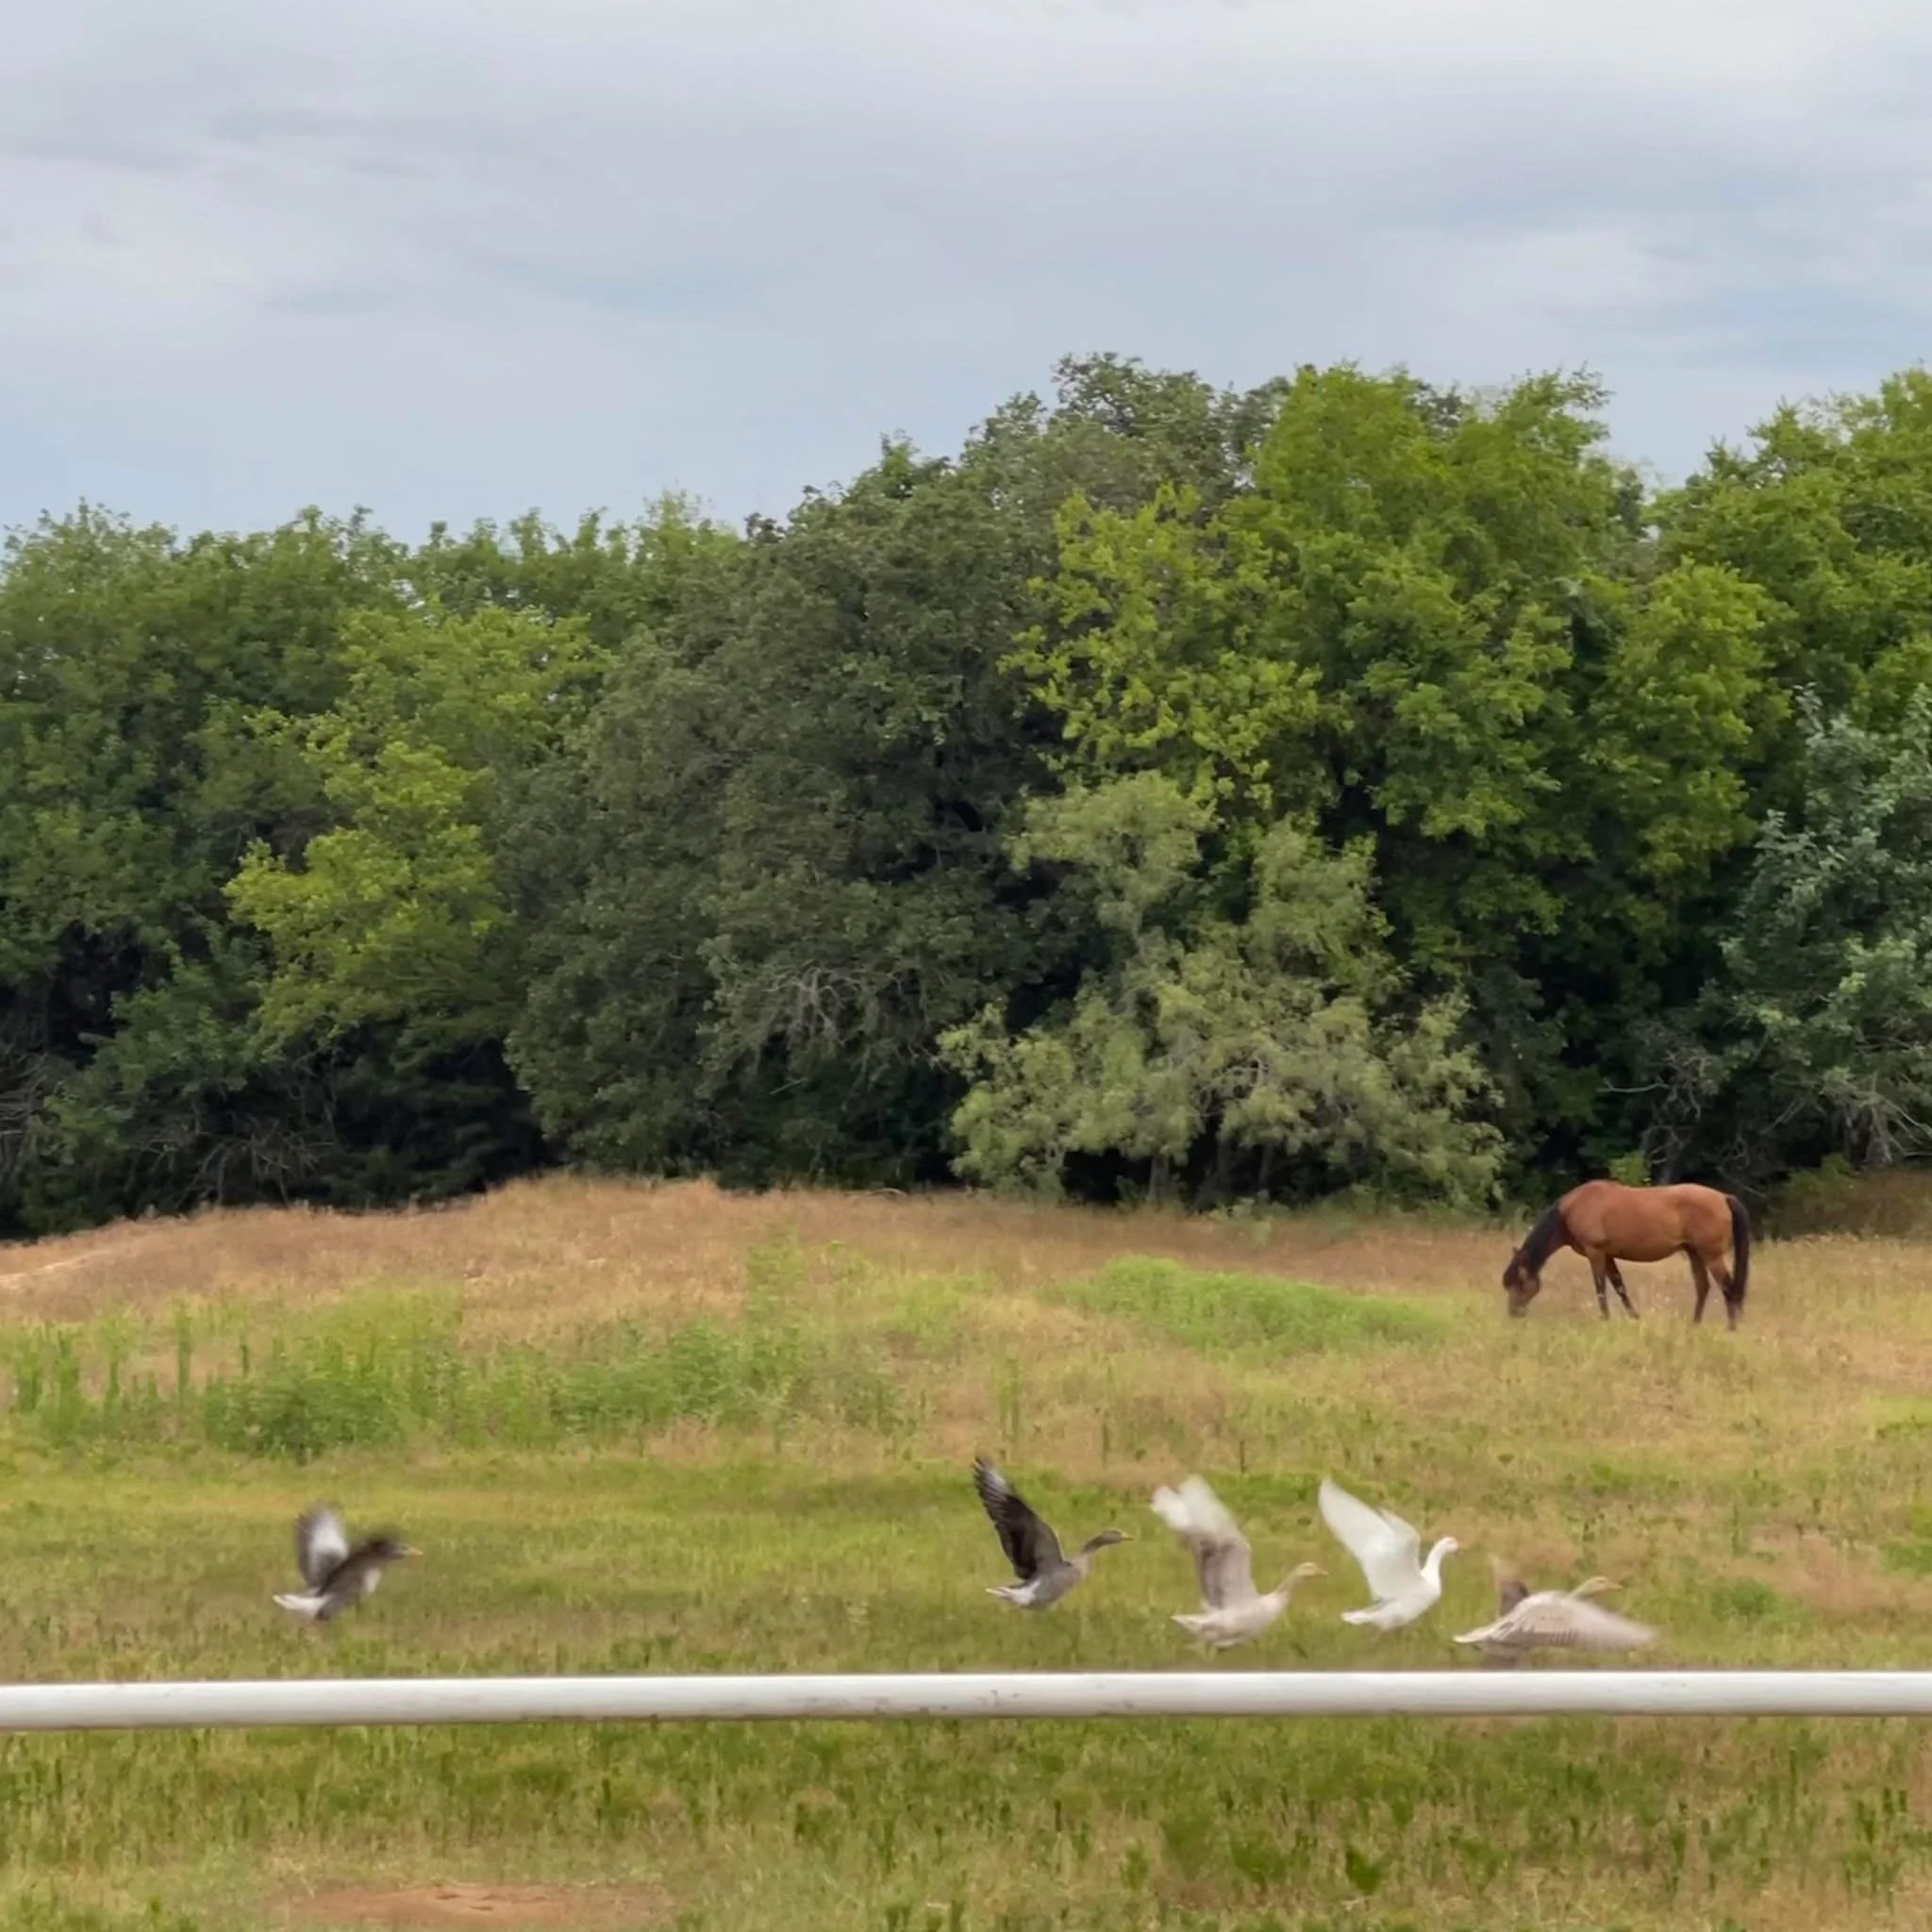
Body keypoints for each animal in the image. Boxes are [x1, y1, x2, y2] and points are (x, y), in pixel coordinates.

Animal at [1501, 1180, 1751, 1330]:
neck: (1575, 1208)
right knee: (1703, 1286)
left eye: (1520, 1283)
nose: (1513, 1314)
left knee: (1729, 1287)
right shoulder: (1608, 1255)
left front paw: (1604, 1318)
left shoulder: (1595, 1252)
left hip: (1711, 1255)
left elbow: (1601, 1288)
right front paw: (1634, 1317)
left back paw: (1731, 1328)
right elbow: (1619, 1286)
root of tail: (1723, 1197)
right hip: (1695, 1253)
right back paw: (1695, 1324)